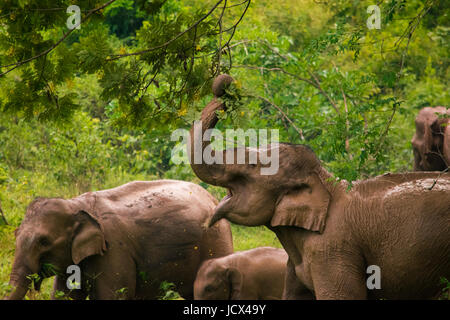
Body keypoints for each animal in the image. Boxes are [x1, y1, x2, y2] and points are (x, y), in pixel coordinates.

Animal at [5, 180, 234, 300]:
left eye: (44, 242)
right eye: (15, 234)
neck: (76, 205)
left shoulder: (114, 250)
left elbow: (113, 295)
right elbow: (64, 295)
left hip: (215, 244)